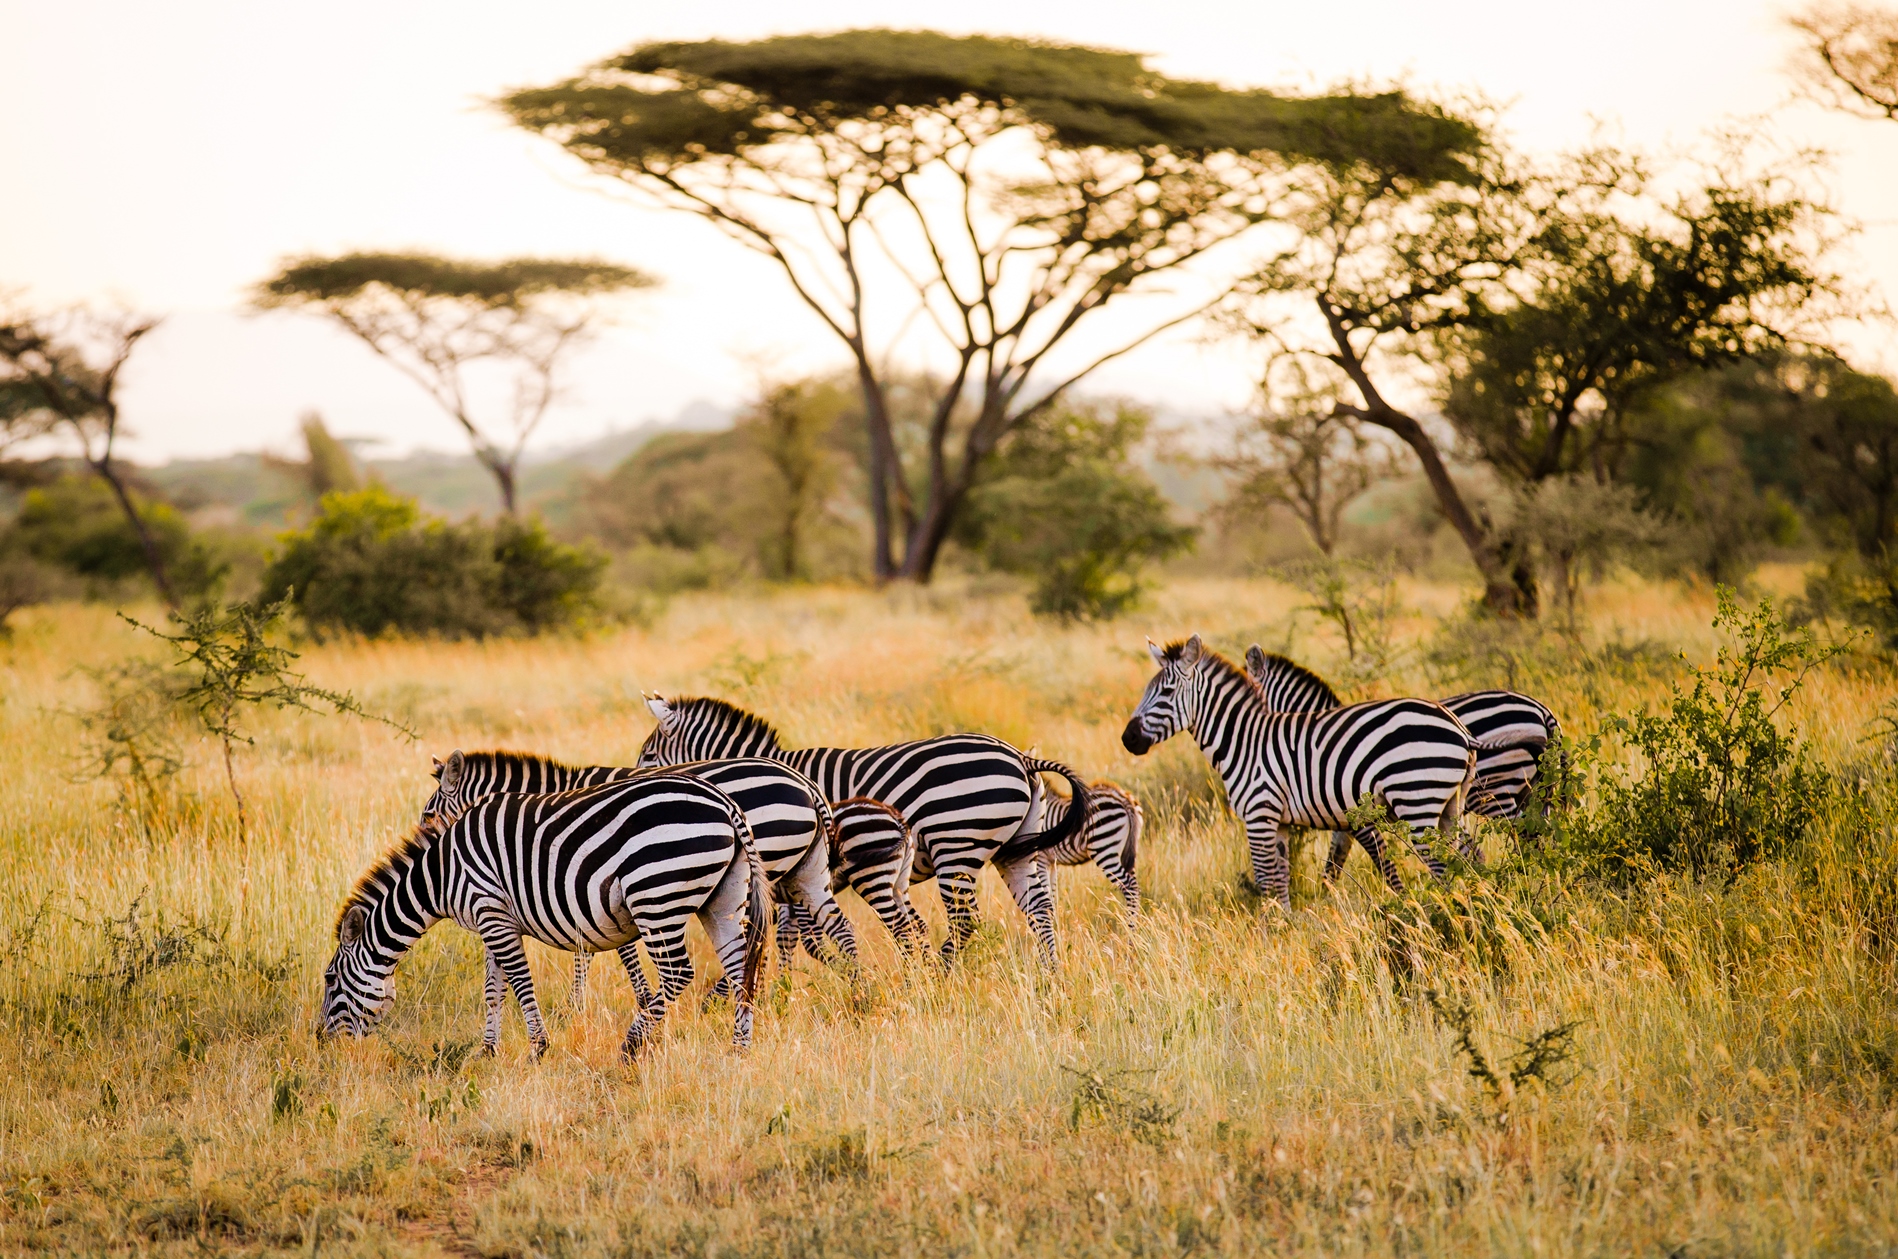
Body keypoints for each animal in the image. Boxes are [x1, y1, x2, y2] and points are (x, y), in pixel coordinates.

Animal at [319, 774, 769, 1062]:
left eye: (329, 980)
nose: (322, 1042)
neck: (442, 874)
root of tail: (723, 801)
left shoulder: (491, 912)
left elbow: (520, 983)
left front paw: (538, 1048)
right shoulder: (491, 919)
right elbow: (494, 989)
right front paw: (487, 1051)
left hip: (656, 896)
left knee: (678, 972)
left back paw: (630, 1046)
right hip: (722, 899)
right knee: (738, 968)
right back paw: (739, 1049)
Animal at [418, 749, 862, 1039]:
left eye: (427, 814)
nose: (428, 853)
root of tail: (804, 782)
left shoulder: (595, 882)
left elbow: (615, 952)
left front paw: (621, 1002)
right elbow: (594, 948)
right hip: (803, 874)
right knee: (832, 927)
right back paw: (854, 992)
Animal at [636, 695, 1089, 965]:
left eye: (648, 755)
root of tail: (1022, 759)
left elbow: (796, 936)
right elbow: (793, 937)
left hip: (956, 843)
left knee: (965, 920)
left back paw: (942, 972)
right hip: (1017, 848)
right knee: (1040, 910)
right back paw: (1051, 977)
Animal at [1121, 634, 1476, 907]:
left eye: (1166, 693)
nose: (1128, 738)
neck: (1244, 740)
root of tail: (1458, 728)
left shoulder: (1260, 815)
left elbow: (1266, 880)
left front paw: (1265, 937)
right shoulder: (1279, 822)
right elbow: (1282, 879)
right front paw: (1285, 927)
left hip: (1418, 802)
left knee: (1444, 868)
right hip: (1450, 808)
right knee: (1466, 861)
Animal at [1242, 646, 1563, 879]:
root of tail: (1542, 711)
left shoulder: (1357, 814)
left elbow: (1376, 857)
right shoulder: (1339, 814)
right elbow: (1335, 860)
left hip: (1499, 791)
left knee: (1524, 840)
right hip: (1535, 793)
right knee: (1542, 839)